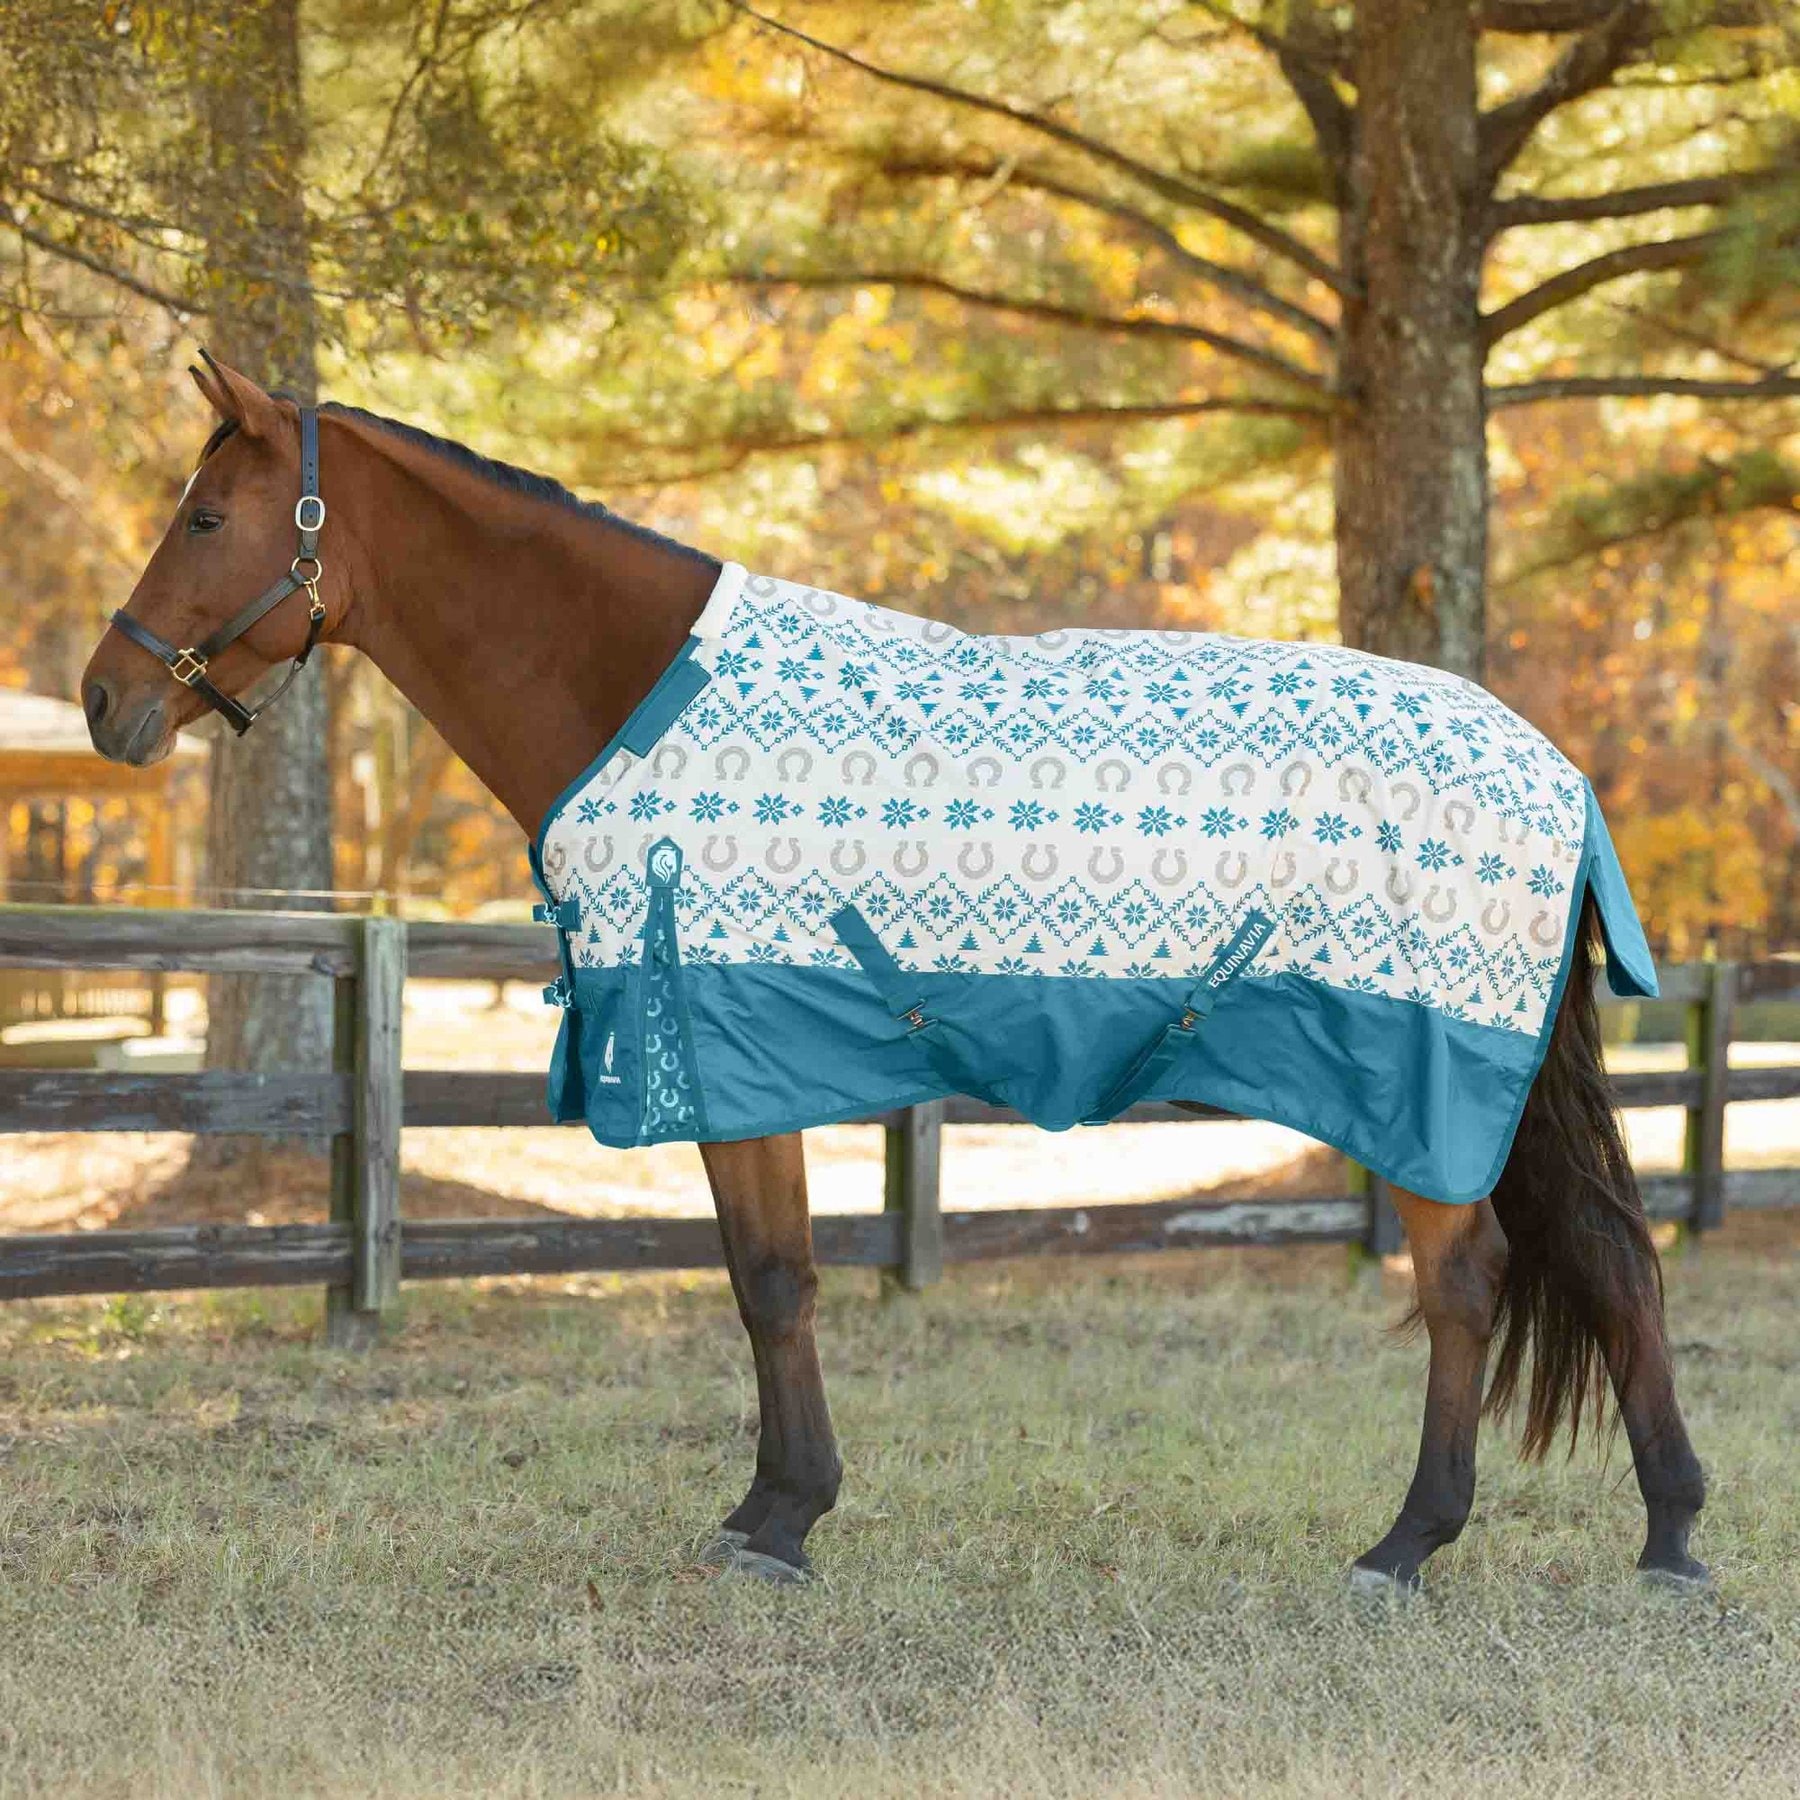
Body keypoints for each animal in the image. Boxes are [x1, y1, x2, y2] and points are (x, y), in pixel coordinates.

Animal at [79, 353, 1709, 1594]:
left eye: (208, 514)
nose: (105, 699)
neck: (642, 700)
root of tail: (1555, 770)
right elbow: (765, 1281)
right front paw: (767, 1507)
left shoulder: (729, 1044)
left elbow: (775, 1281)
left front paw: (784, 1522)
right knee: (1613, 1261)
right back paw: (1672, 1537)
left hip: (1425, 1075)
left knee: (1468, 1282)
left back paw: (1407, 1547)